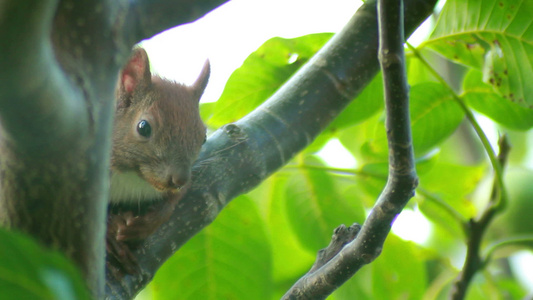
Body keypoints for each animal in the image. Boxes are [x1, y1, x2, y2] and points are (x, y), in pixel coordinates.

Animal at [106, 48, 208, 270]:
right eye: (143, 127)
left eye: (204, 137)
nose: (179, 179)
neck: (132, 175)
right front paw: (112, 232)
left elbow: (173, 202)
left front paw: (148, 223)